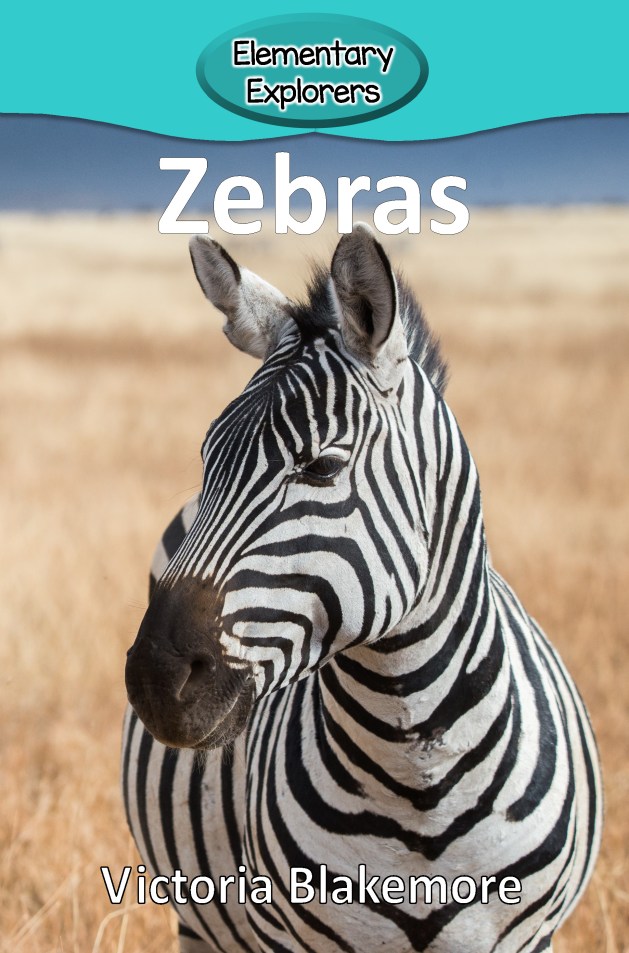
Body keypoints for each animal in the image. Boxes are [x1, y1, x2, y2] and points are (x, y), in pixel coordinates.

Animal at [123, 225, 602, 953]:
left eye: (322, 466)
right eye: (207, 460)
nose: (156, 677)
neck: (417, 774)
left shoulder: (527, 934)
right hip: (197, 919)